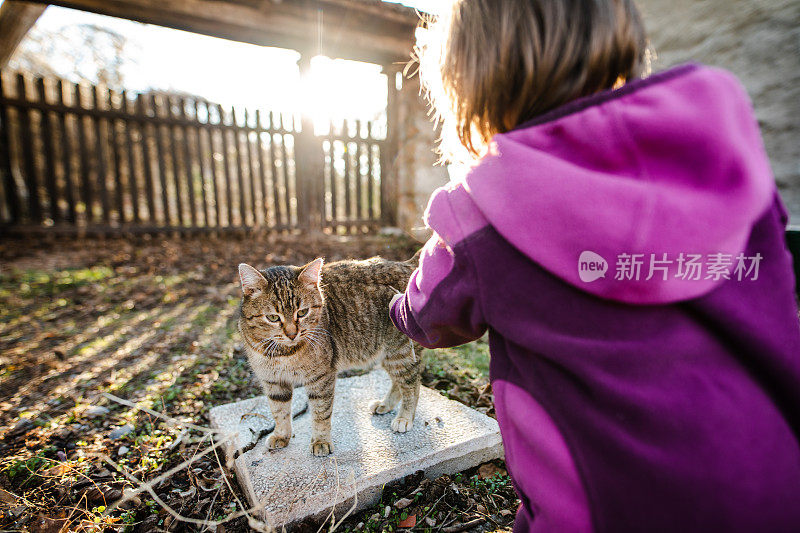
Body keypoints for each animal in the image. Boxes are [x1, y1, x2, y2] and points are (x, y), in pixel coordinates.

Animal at [238, 256, 424, 456]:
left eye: (302, 312)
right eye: (273, 317)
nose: (292, 334)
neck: (283, 352)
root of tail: (406, 264)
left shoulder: (321, 378)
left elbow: (321, 412)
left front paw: (321, 441)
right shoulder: (273, 382)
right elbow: (279, 411)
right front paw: (281, 435)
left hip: (399, 353)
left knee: (412, 384)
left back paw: (405, 417)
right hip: (387, 355)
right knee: (399, 382)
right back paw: (386, 404)